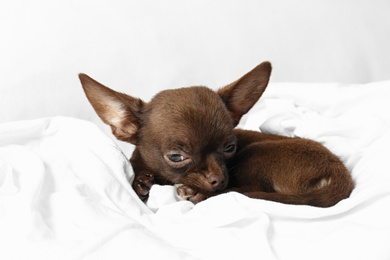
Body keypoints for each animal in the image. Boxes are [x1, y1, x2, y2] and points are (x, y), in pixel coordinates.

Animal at [78, 61, 354, 207]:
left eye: (230, 148)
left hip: (255, 154)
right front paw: (141, 183)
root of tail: (338, 176)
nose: (218, 179)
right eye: (176, 157)